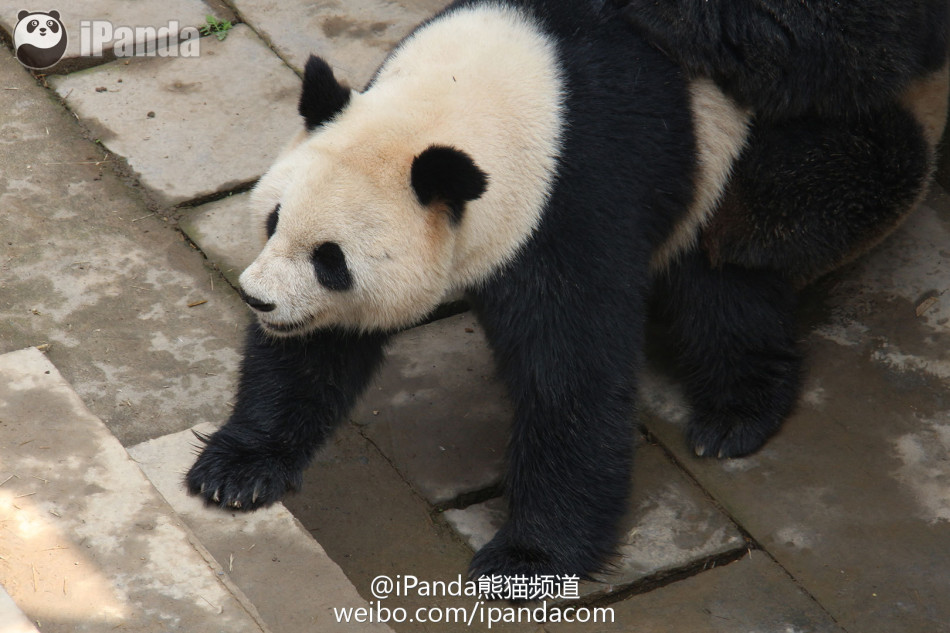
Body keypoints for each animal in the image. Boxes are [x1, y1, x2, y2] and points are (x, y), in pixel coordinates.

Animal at [188, 0, 950, 576]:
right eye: (273, 219)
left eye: (332, 260)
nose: (259, 300)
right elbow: (316, 353)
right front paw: (237, 468)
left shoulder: (572, 198)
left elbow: (572, 373)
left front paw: (527, 557)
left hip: (743, 162)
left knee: (728, 283)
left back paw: (735, 413)